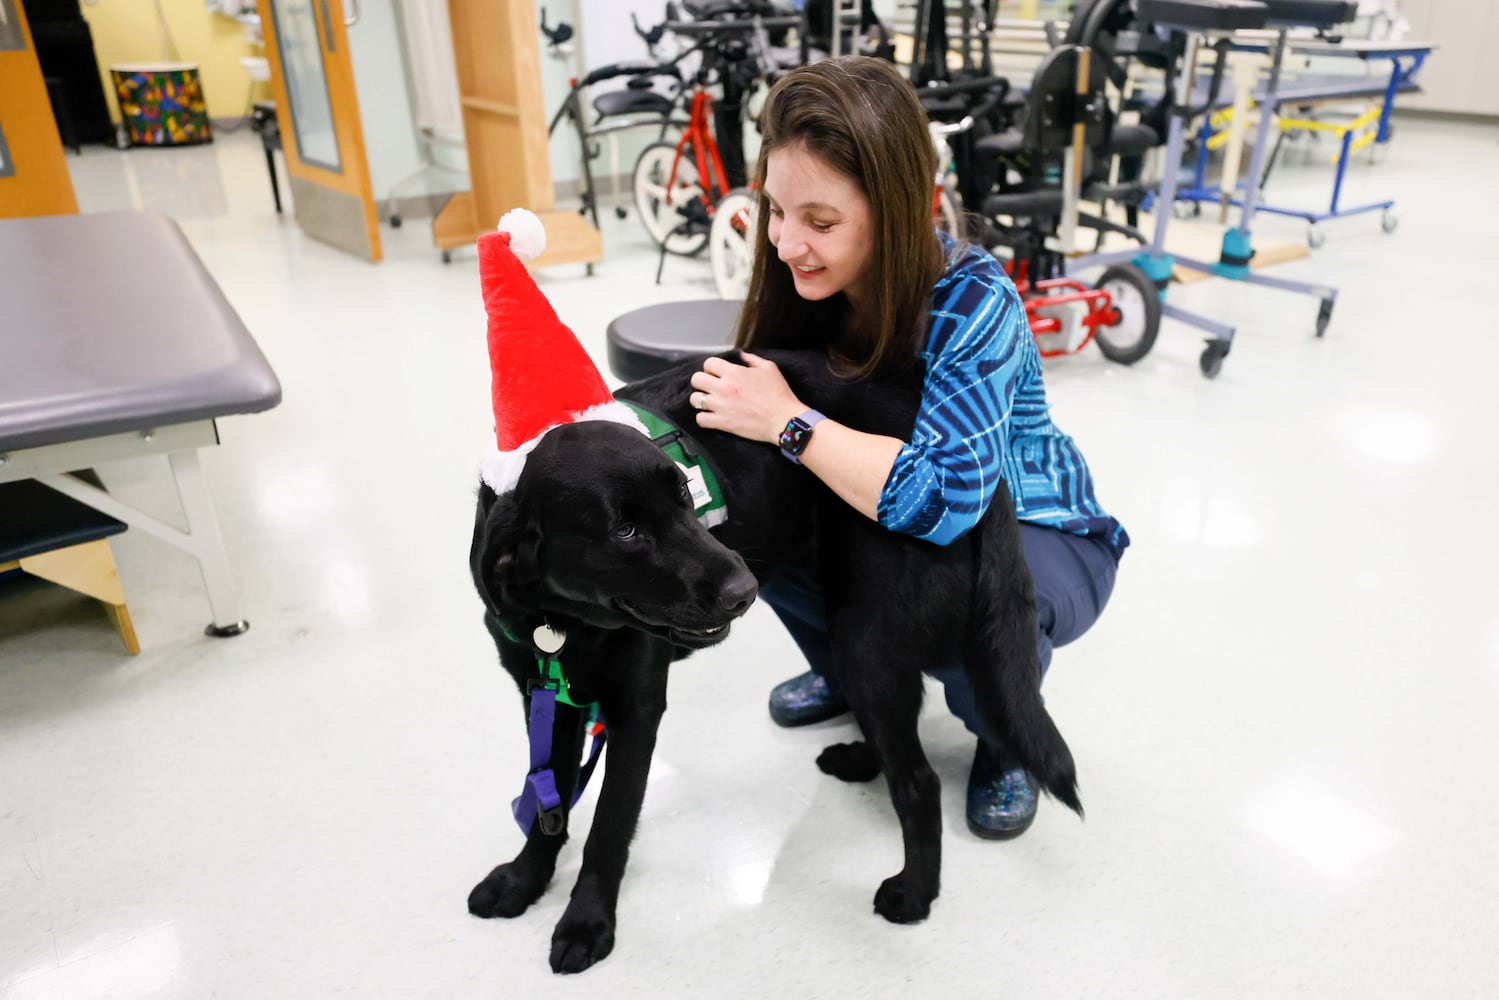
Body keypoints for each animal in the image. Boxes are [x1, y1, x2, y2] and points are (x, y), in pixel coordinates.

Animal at [464, 350, 1079, 971]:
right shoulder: (545, 696)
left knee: (919, 783)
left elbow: (608, 825)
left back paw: (914, 894)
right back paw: (862, 760)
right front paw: (524, 880)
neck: (565, 623)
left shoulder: (635, 712)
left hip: (863, 638)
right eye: (625, 529)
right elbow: (549, 802)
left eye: (684, 497)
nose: (744, 590)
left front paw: (587, 922)